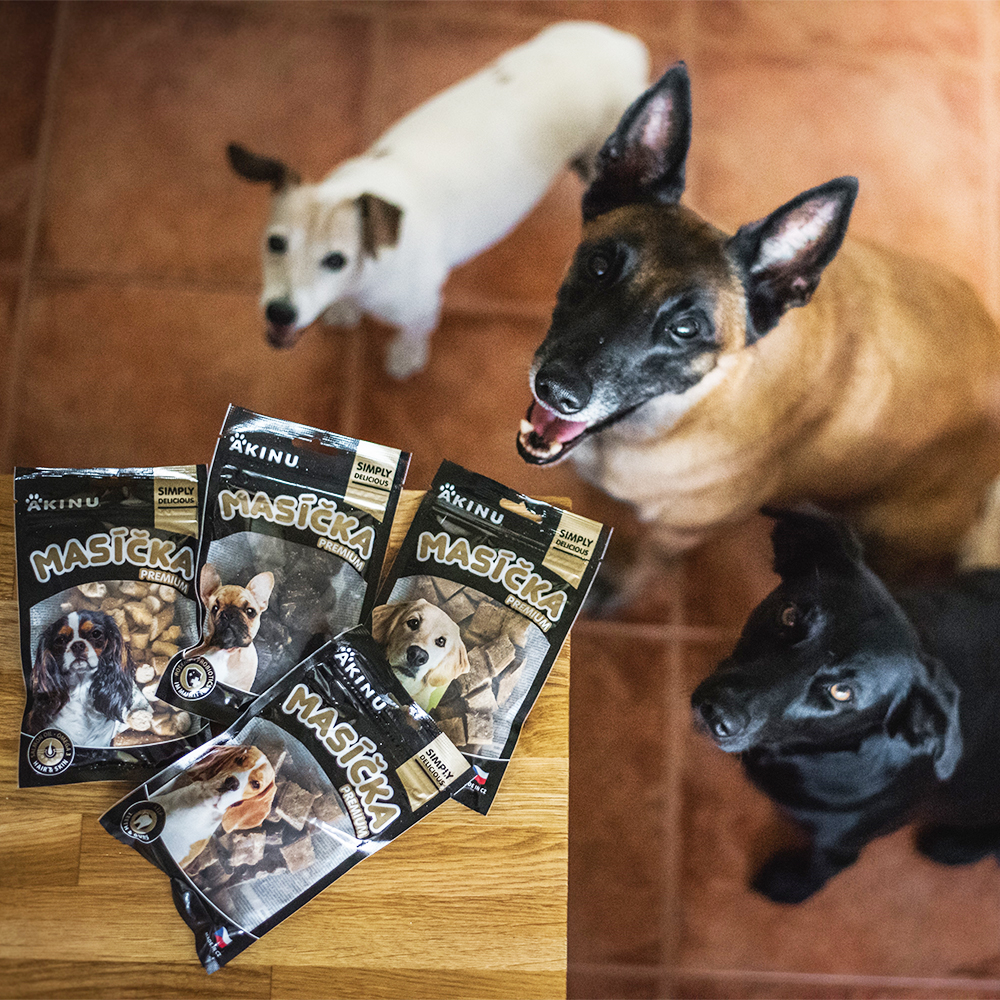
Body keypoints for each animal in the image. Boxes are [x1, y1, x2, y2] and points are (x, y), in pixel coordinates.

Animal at [228, 21, 649, 379]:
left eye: (336, 260)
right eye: (275, 243)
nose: (280, 313)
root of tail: (625, 46)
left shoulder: (420, 307)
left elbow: (414, 334)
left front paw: (405, 356)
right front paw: (343, 311)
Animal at [518, 61, 1000, 601]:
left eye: (686, 328)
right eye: (599, 266)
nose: (555, 389)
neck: (690, 408)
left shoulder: (677, 534)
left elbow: (641, 561)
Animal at [691, 507, 1000, 904]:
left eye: (842, 692)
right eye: (789, 614)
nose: (717, 712)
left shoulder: (839, 846)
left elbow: (817, 870)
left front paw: (790, 887)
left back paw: (955, 847)